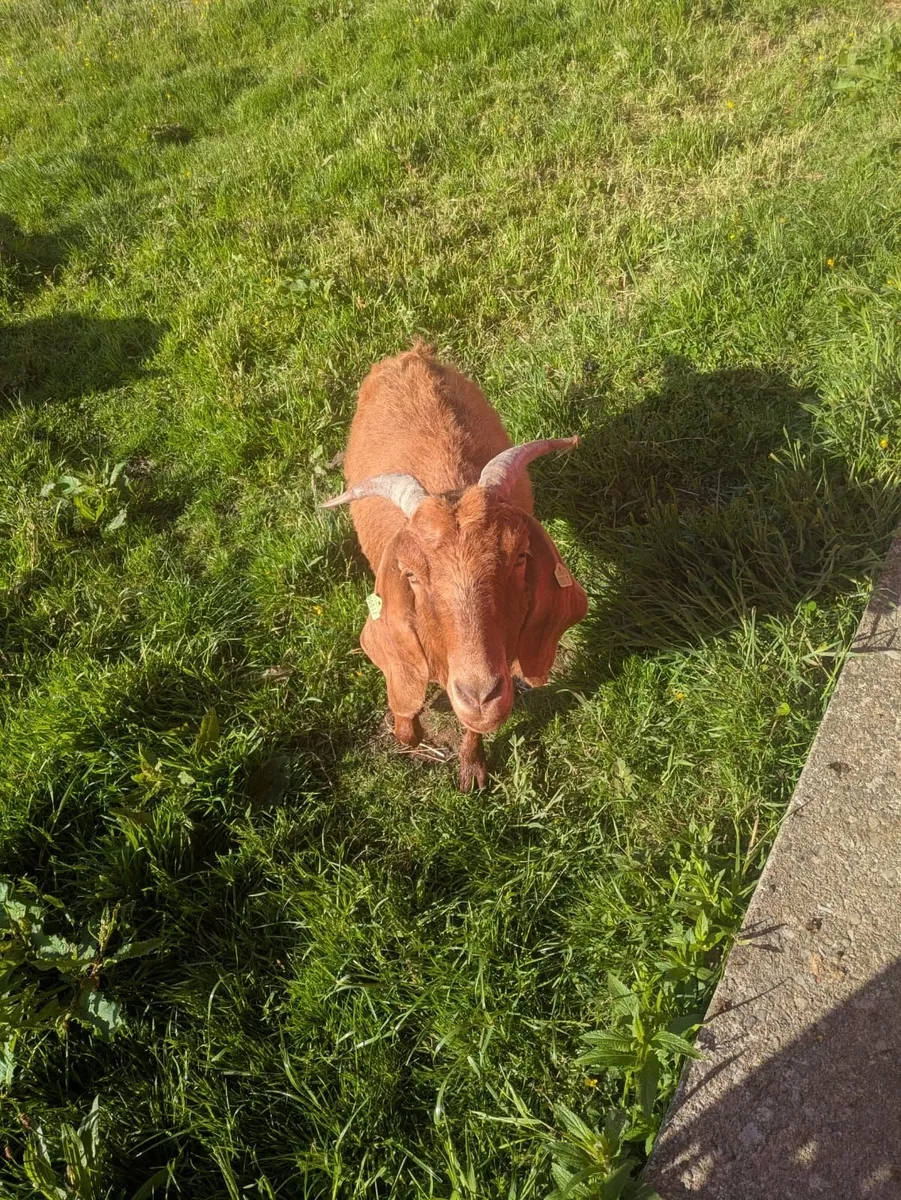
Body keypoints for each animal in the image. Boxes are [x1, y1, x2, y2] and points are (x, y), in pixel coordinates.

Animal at [323, 343, 587, 790]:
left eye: (520, 556)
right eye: (410, 574)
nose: (481, 697)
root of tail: (412, 354)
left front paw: (472, 767)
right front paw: (408, 733)